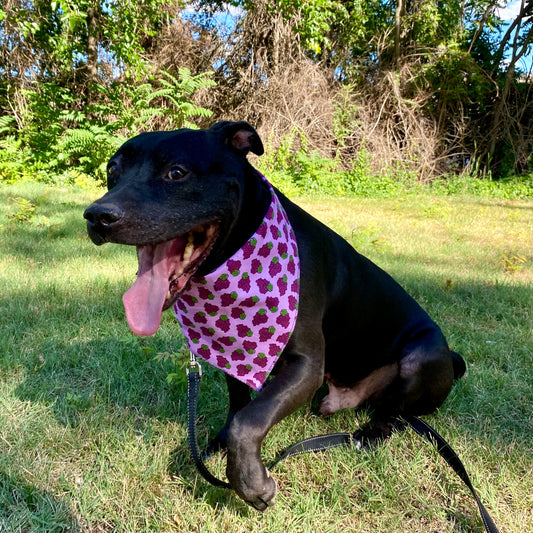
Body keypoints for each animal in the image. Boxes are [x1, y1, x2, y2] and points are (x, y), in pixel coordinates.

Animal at [85, 121, 464, 512]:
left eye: (176, 172)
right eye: (112, 170)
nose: (98, 215)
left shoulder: (306, 365)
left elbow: (250, 420)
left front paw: (250, 482)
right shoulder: (234, 351)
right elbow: (239, 407)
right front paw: (220, 447)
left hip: (423, 355)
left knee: (398, 413)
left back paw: (370, 434)